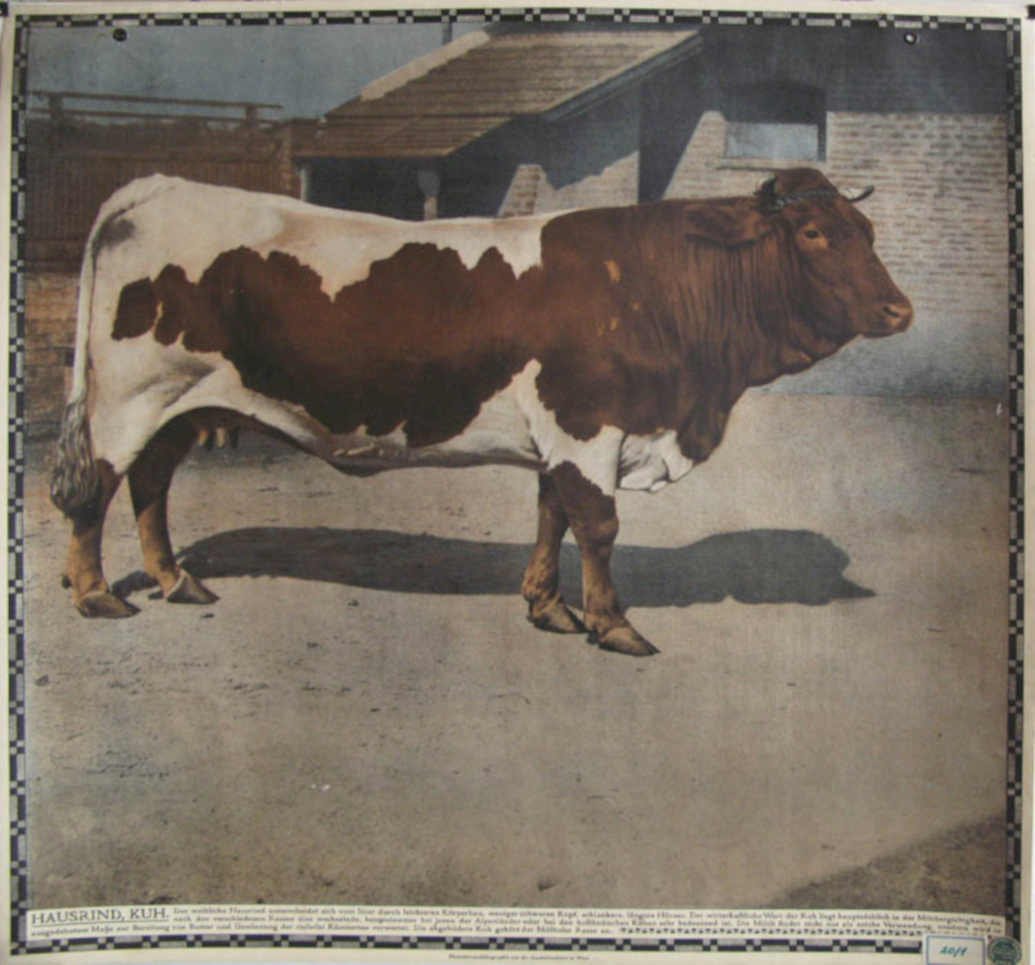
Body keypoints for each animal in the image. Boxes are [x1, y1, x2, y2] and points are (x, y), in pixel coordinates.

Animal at [50, 167, 912, 656]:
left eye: (868, 231)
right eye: (813, 232)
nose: (899, 310)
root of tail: (159, 186)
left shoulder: (561, 437)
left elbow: (551, 515)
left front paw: (548, 607)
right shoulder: (585, 423)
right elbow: (598, 525)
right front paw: (613, 625)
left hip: (178, 406)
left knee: (151, 485)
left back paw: (176, 580)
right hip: (128, 396)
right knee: (98, 489)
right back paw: (96, 594)